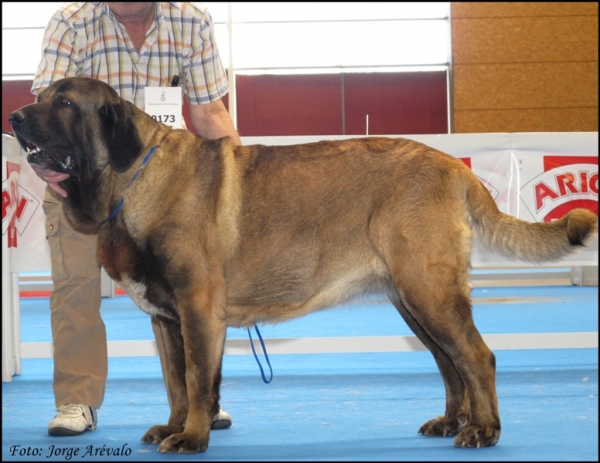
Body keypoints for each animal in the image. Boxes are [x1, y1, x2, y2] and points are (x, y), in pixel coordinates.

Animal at [9, 79, 600, 454]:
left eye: (64, 101)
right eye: (40, 96)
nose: (14, 116)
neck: (130, 179)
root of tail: (454, 165)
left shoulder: (198, 308)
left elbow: (198, 379)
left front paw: (193, 438)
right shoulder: (166, 320)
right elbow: (175, 381)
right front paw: (172, 428)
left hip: (430, 291)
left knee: (477, 357)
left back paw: (485, 431)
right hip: (414, 303)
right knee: (450, 363)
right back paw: (452, 422)